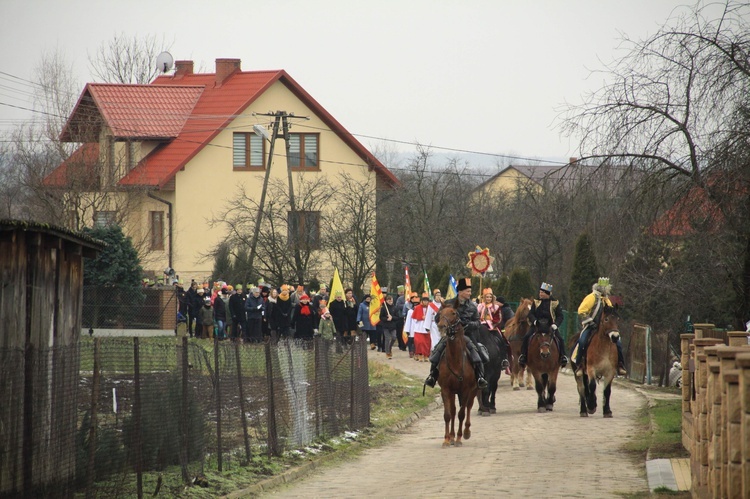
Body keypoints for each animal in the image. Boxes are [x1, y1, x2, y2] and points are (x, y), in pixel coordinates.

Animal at [434, 304, 476, 450]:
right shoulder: (446, 389)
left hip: (473, 391)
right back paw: (451, 437)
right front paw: (447, 439)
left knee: (468, 407)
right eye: (440, 313)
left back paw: (466, 432)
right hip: (453, 392)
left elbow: (461, 414)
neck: (455, 360)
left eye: (453, 313)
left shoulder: (466, 390)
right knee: (452, 410)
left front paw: (459, 438)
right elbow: (448, 414)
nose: (441, 326)